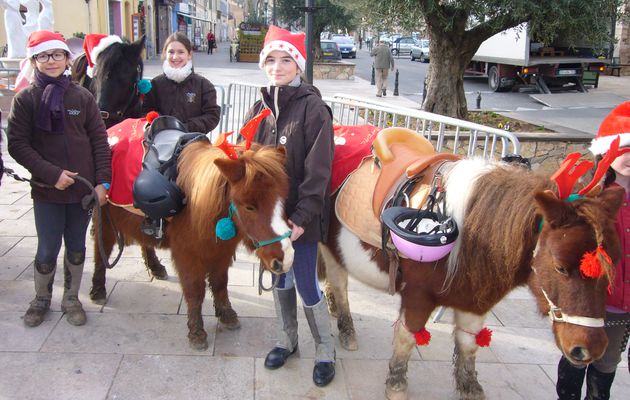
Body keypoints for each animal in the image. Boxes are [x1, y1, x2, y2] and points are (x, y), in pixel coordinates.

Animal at [94, 141, 296, 350]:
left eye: (282, 200)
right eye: (249, 206)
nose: (285, 258)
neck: (198, 206)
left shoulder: (222, 252)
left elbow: (220, 283)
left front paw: (226, 314)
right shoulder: (187, 255)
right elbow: (195, 291)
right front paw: (197, 332)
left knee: (145, 243)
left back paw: (155, 267)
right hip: (105, 217)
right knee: (102, 249)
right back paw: (98, 288)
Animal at [320, 143, 628, 396]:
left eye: (615, 261)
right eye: (560, 267)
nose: (589, 348)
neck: (471, 232)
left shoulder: (474, 300)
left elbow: (469, 344)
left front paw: (470, 388)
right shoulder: (418, 296)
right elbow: (407, 337)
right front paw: (396, 384)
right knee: (339, 282)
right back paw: (346, 327)